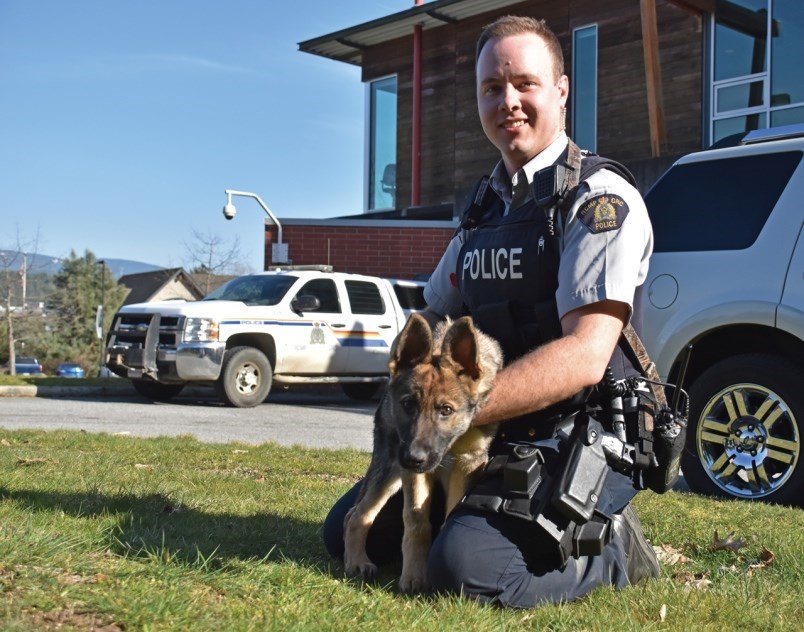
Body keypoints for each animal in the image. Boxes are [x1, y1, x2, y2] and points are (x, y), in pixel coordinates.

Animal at [344, 314, 502, 596]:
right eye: (408, 404)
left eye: (446, 410)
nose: (413, 457)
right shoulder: (413, 473)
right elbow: (417, 521)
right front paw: (415, 576)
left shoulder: (468, 463)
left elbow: (450, 514)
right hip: (389, 471)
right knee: (357, 515)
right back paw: (357, 562)